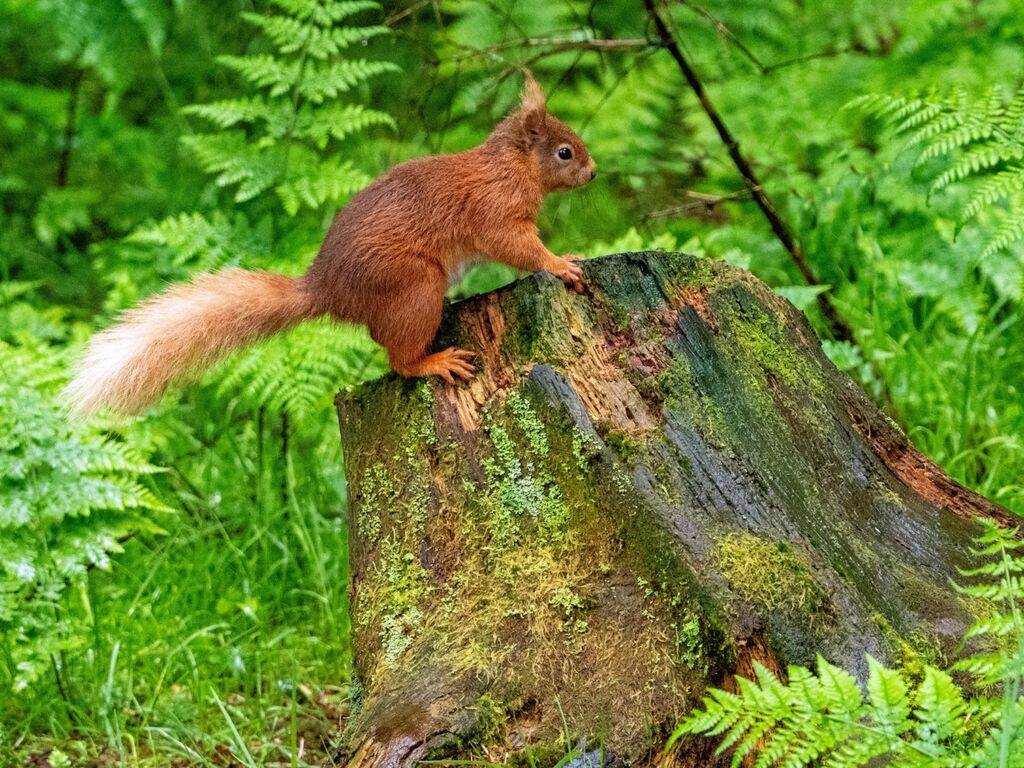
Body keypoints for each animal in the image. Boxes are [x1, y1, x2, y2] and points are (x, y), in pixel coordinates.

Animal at [65, 72, 596, 417]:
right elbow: (517, 248)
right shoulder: (495, 211)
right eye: (564, 152)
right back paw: (435, 361)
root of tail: (327, 290)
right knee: (397, 358)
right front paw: (560, 263)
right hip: (414, 285)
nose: (592, 173)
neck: (509, 165)